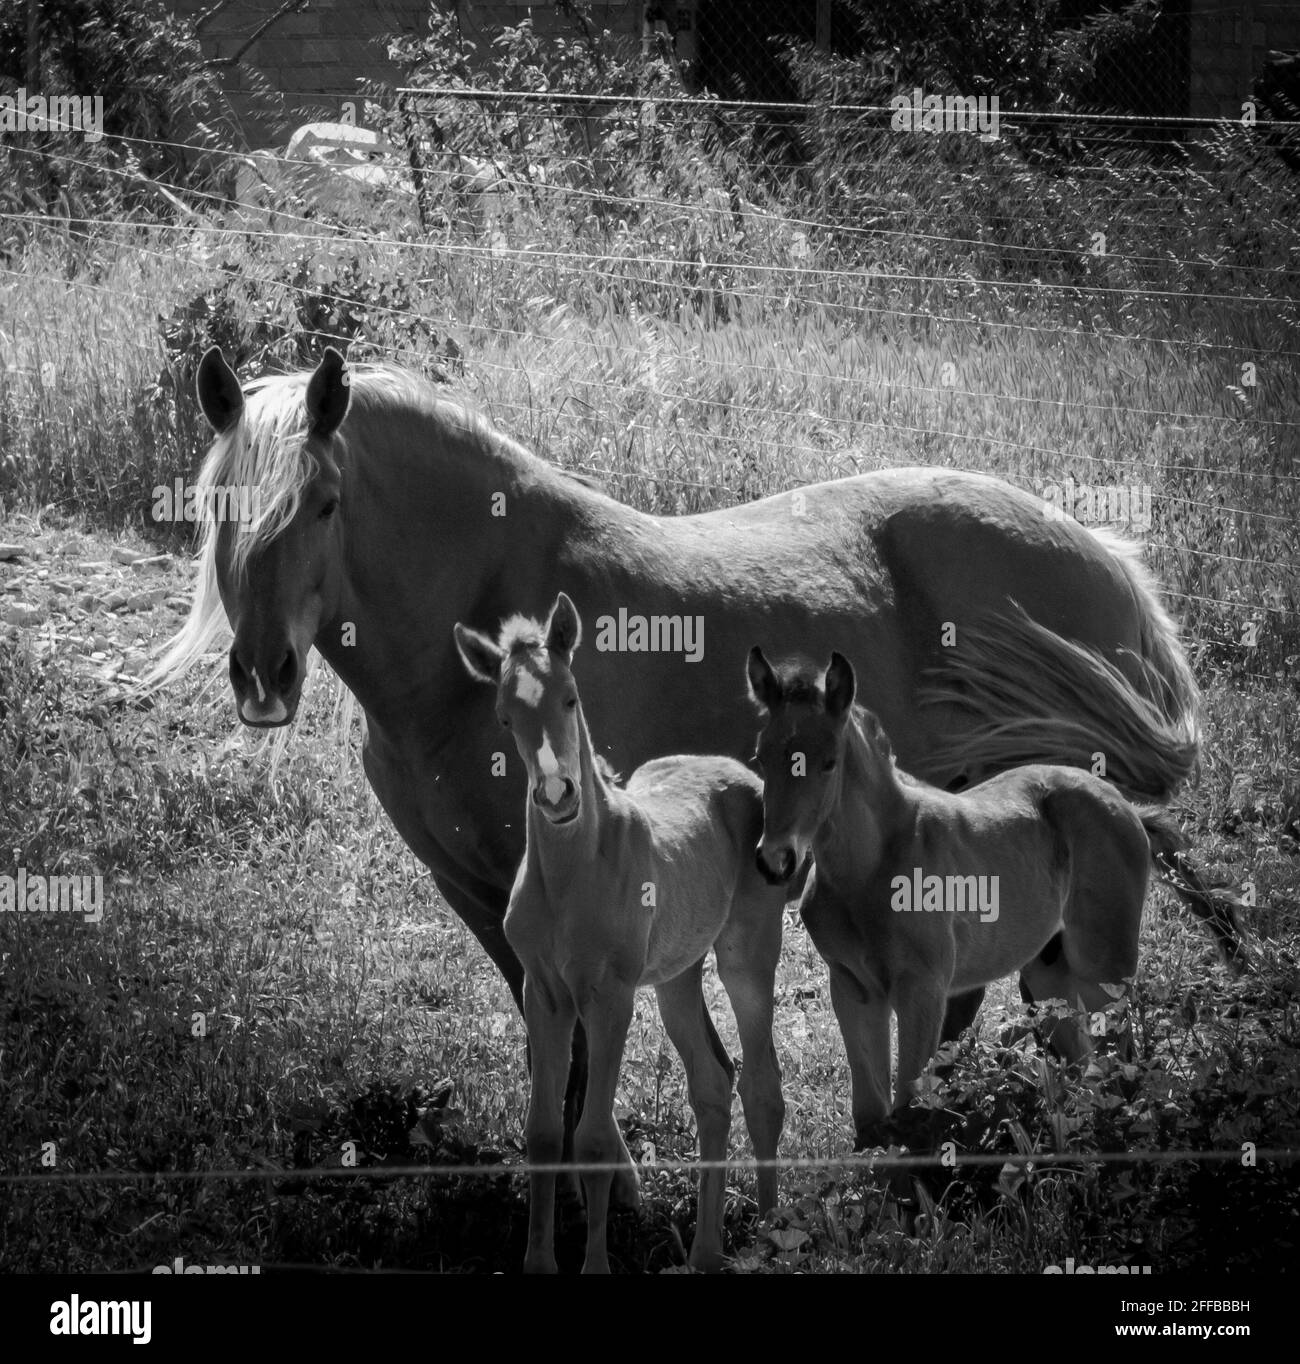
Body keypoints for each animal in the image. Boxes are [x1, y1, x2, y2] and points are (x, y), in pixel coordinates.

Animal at [450, 591, 785, 1271]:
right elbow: (545, 1132)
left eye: (571, 697)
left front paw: (596, 1263)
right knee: (713, 1085)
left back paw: (766, 1236)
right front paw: (539, 1261)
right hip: (677, 976)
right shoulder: (546, 995)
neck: (572, 875)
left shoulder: (611, 998)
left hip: (747, 958)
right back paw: (704, 1253)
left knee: (763, 1085)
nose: (557, 794)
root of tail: (740, 772)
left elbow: (595, 1136)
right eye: (504, 717)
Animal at [747, 643, 1189, 1145]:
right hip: (1050, 972)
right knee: (1083, 1063)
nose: (775, 859)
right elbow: (871, 1114)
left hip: (1104, 966)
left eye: (828, 762)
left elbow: (912, 1104)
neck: (869, 870)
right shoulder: (851, 986)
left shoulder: (923, 989)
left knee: (1122, 1060)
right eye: (761, 758)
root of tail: (1125, 805)